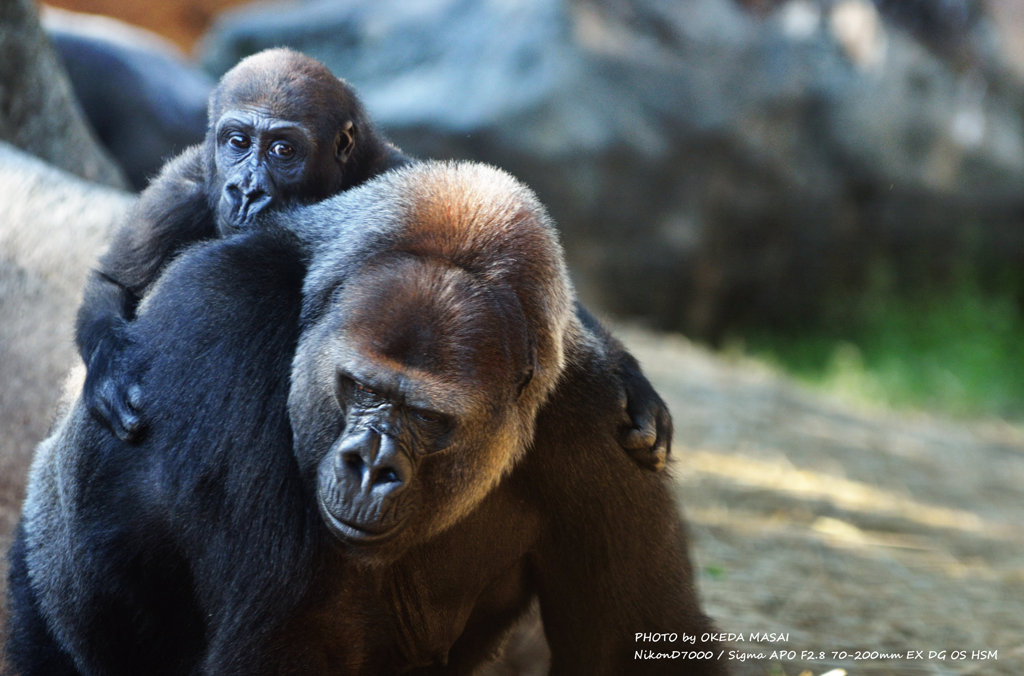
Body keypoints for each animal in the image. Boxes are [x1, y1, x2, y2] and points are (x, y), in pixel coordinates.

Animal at [6, 160, 720, 671]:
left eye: (426, 417)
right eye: (358, 387)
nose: (371, 467)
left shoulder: (597, 415)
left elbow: (634, 642)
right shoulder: (224, 313)